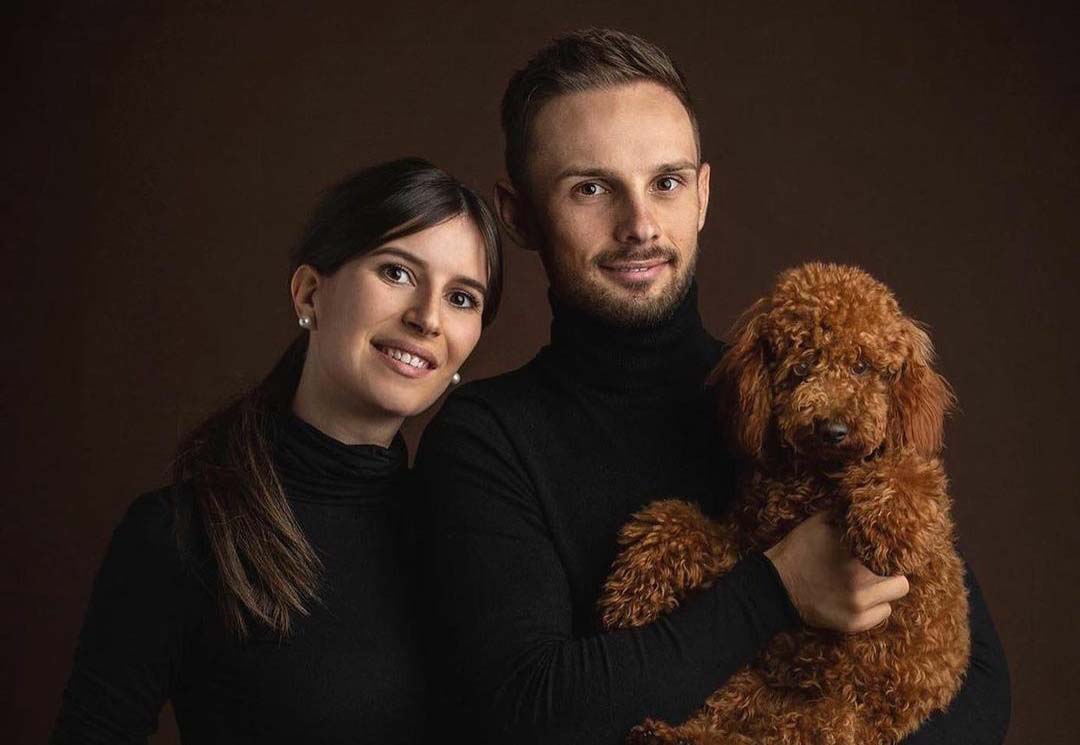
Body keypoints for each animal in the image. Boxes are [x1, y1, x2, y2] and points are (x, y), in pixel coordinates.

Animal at [597, 263, 970, 745]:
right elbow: (675, 522)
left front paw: (890, 531)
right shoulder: (747, 542)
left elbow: (911, 473)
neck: (814, 478)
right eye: (803, 366)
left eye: (862, 366)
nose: (833, 429)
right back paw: (663, 732)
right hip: (745, 689)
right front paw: (630, 590)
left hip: (832, 720)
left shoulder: (908, 471)